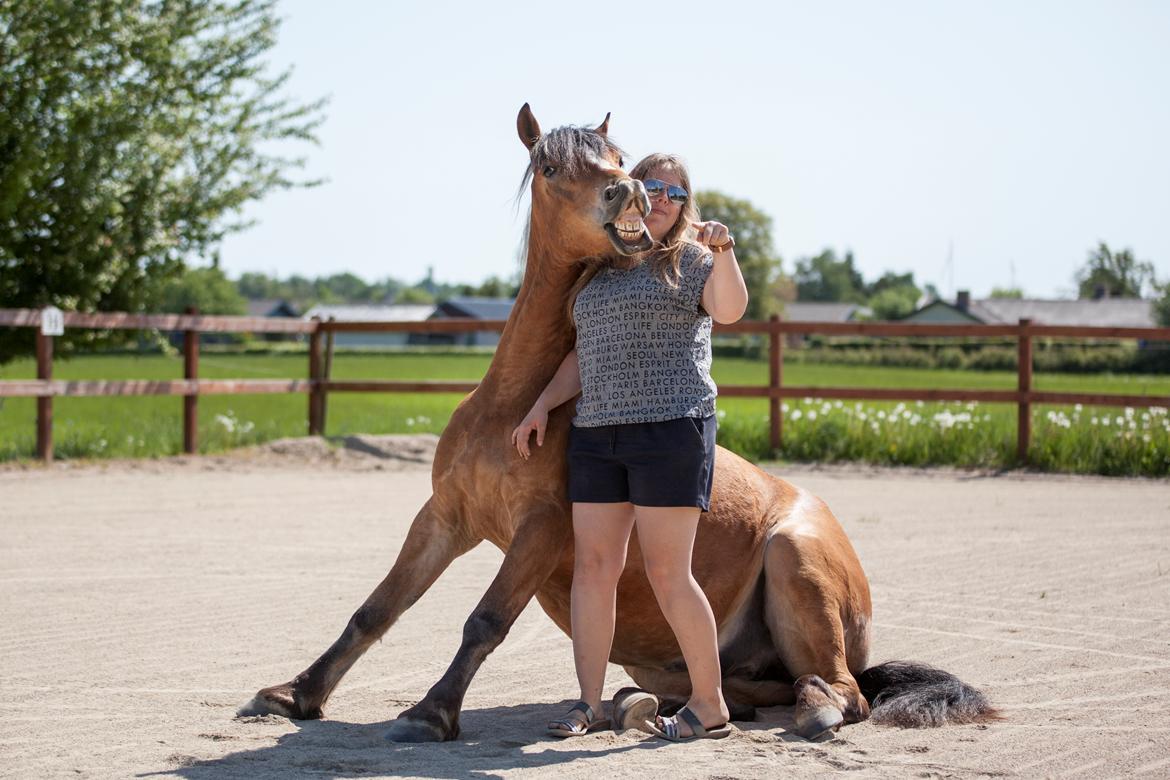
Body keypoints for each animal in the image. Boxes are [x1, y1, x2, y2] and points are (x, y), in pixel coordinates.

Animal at [239, 107, 996, 743]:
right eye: (550, 167)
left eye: (620, 158)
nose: (624, 192)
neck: (515, 405)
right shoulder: (446, 517)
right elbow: (375, 609)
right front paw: (291, 696)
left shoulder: (542, 529)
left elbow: (485, 619)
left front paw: (430, 713)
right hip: (672, 657)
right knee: (732, 685)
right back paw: (638, 705)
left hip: (794, 560)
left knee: (840, 689)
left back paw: (808, 711)